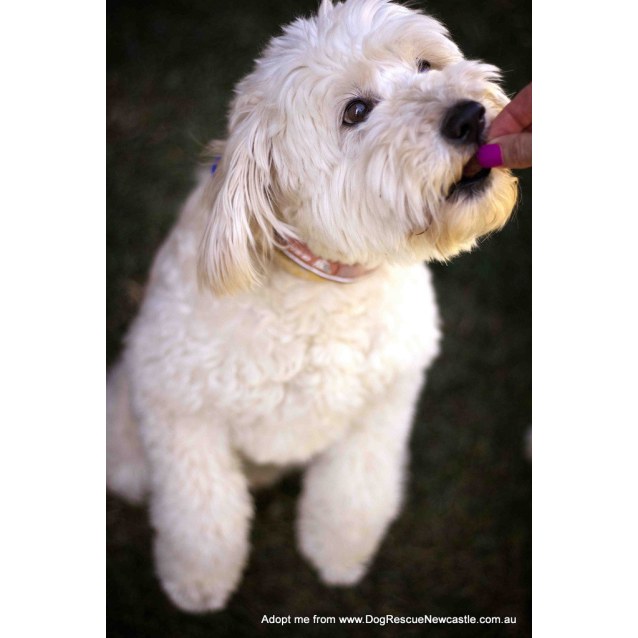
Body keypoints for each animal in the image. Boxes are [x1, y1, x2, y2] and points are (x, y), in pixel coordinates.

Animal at [109, 0, 520, 616]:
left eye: (426, 64)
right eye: (356, 111)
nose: (469, 116)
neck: (328, 286)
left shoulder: (382, 407)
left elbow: (355, 491)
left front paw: (339, 554)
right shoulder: (178, 409)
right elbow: (201, 513)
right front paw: (198, 582)